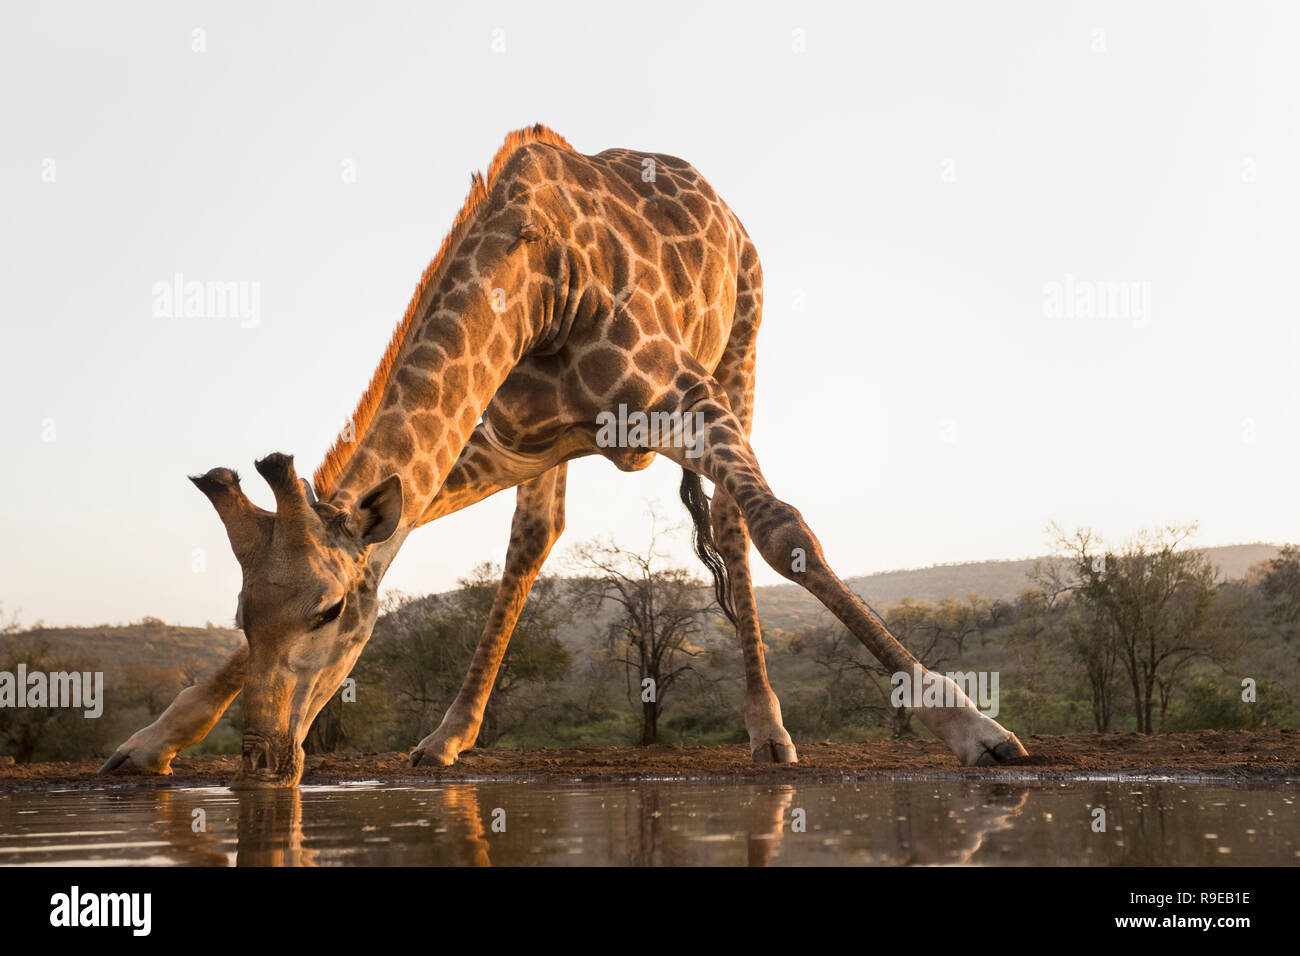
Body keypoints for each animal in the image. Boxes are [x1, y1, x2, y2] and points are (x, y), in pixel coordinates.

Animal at [101, 123, 1024, 790]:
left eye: (328, 613)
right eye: (240, 615)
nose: (263, 761)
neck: (538, 281)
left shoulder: (688, 398)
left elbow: (785, 532)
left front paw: (974, 728)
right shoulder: (502, 440)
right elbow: (404, 542)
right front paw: (148, 744)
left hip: (743, 354)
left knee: (732, 529)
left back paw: (769, 730)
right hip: (561, 447)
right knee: (534, 542)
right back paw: (445, 736)